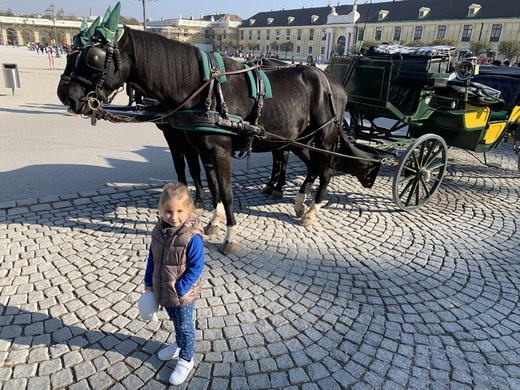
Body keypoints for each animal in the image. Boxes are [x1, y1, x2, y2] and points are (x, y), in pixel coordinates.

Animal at [66, 26, 350, 253]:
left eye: (93, 59)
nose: (69, 97)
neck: (203, 88)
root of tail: (332, 81)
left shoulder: (219, 151)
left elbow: (226, 191)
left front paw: (230, 235)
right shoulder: (202, 150)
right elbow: (211, 185)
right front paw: (213, 221)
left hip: (324, 138)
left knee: (325, 169)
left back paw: (311, 210)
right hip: (299, 139)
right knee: (312, 165)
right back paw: (300, 203)